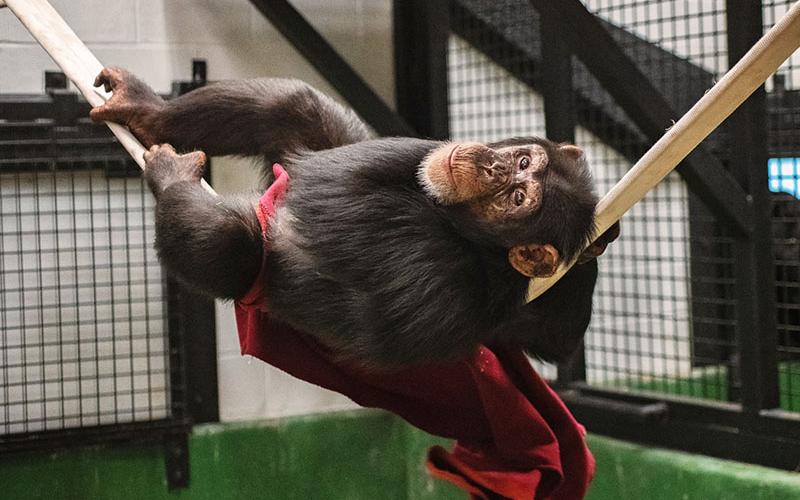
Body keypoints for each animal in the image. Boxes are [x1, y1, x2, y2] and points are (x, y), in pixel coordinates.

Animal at [90, 67, 619, 370]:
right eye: (524, 163)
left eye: (516, 197)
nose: (494, 166)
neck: (471, 237)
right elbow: (554, 336)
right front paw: (598, 243)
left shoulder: (433, 263)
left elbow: (333, 187)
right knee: (293, 103)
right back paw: (144, 110)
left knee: (229, 240)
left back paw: (174, 175)